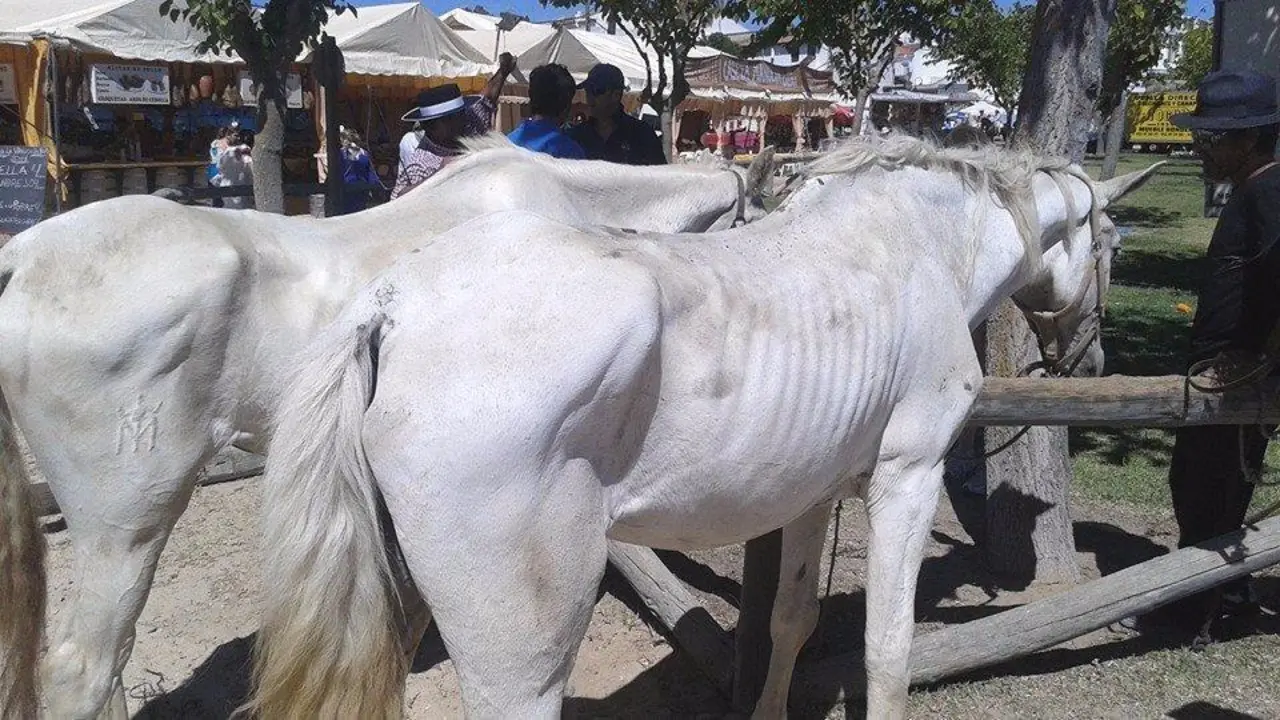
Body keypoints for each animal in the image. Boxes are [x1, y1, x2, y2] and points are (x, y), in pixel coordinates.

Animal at [247, 135, 1159, 719]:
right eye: (1111, 239)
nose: (1090, 358)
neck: (915, 248)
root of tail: (390, 304)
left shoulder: (814, 496)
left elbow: (792, 622)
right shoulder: (909, 476)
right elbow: (888, 650)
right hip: (522, 654)